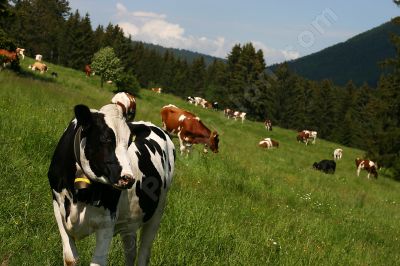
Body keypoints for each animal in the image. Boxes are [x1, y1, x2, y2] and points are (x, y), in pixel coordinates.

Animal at [47, 104, 174, 266]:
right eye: (105, 138)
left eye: (129, 142)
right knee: (131, 251)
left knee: (143, 255)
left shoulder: (107, 222)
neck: (80, 196)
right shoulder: (58, 206)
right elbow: (70, 258)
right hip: (130, 222)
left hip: (157, 213)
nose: (128, 178)